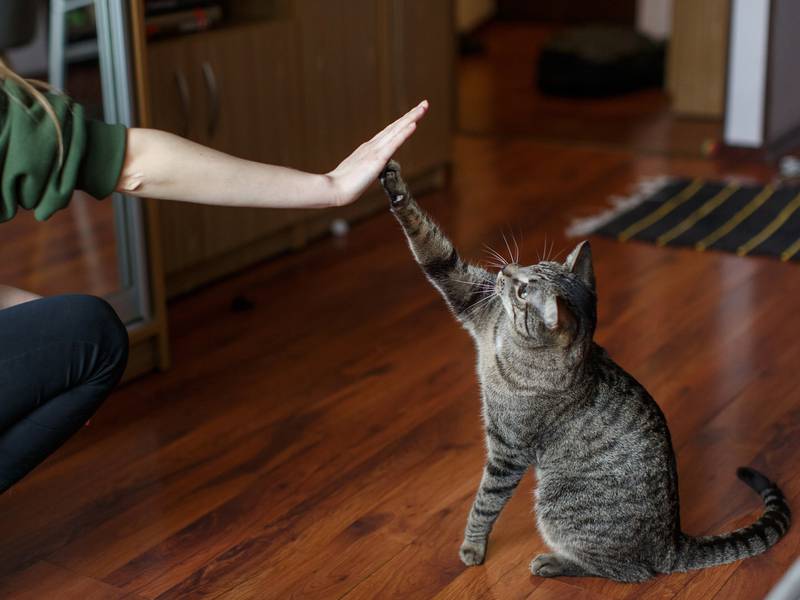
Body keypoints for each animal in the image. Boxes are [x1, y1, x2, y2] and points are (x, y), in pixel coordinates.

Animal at [380, 159, 788, 580]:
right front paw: (392, 181)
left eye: (523, 291)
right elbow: (430, 243)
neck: (507, 340)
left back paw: (553, 562)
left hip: (557, 504)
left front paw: (473, 547)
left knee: (628, 571)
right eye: (531, 265)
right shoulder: (470, 292)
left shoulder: (508, 450)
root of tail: (673, 543)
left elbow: (485, 503)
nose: (507, 269)